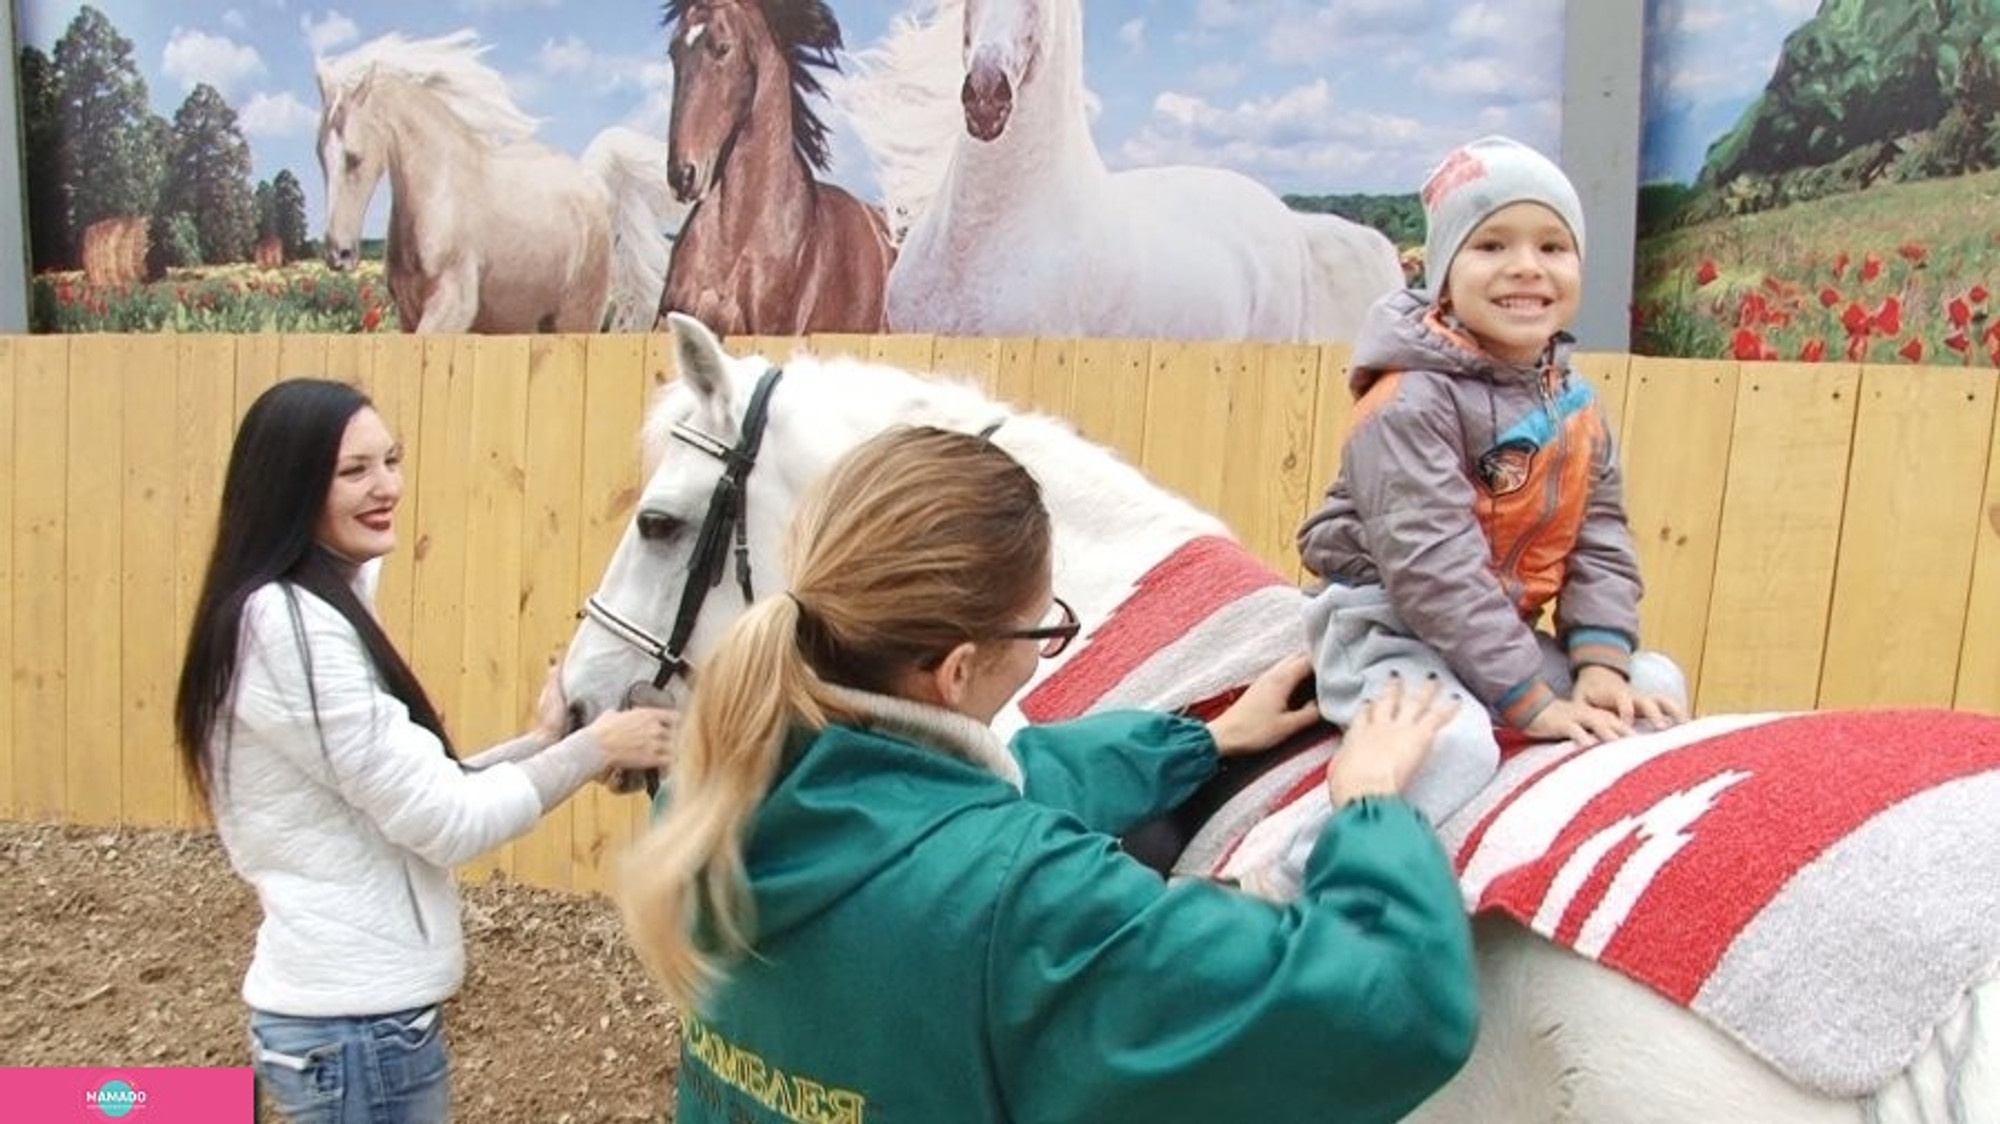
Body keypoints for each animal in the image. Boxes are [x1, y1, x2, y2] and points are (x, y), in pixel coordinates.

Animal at [314, 29, 688, 328]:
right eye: (320, 155)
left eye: (354, 157)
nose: (338, 254)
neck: (439, 200)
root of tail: (590, 177)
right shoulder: (408, 313)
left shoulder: (452, 310)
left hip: (576, 315)